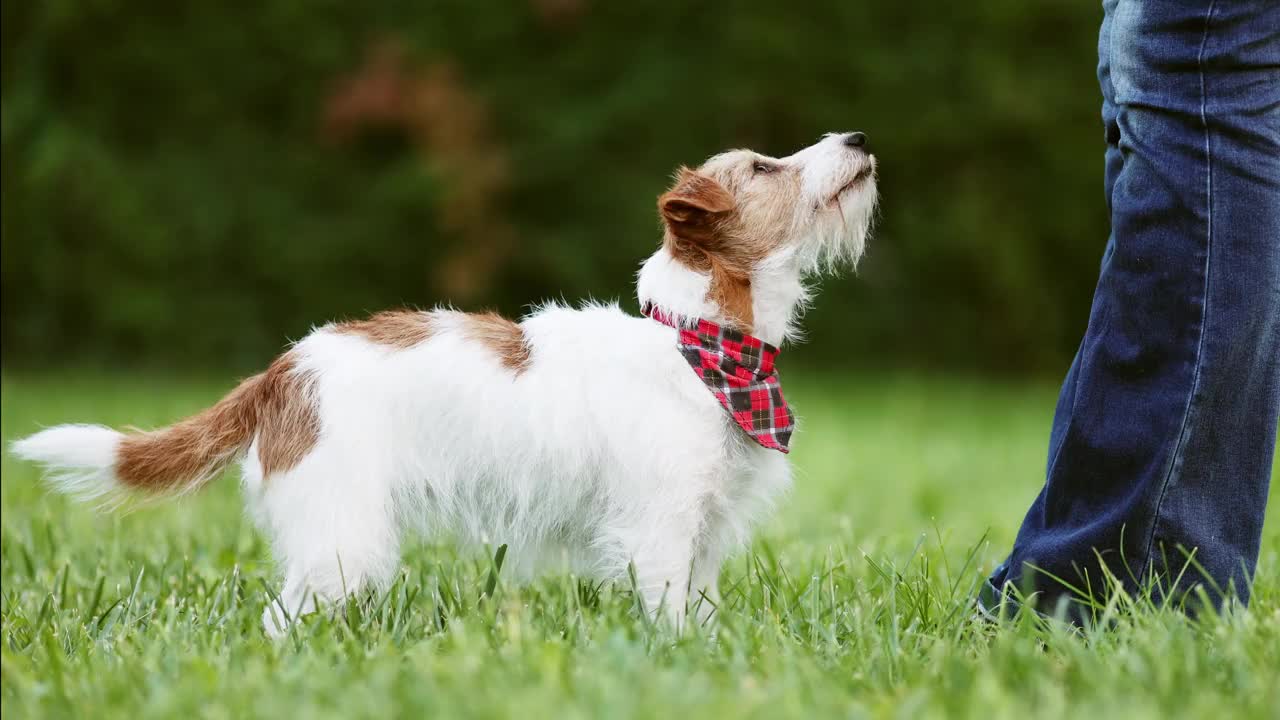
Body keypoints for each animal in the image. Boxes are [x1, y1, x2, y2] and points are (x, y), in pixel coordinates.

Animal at [15, 131, 880, 630]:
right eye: (765, 166)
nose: (859, 134)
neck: (697, 348)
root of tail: (281, 371)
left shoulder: (700, 532)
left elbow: (698, 614)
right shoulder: (658, 529)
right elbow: (668, 617)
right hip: (343, 542)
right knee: (277, 623)